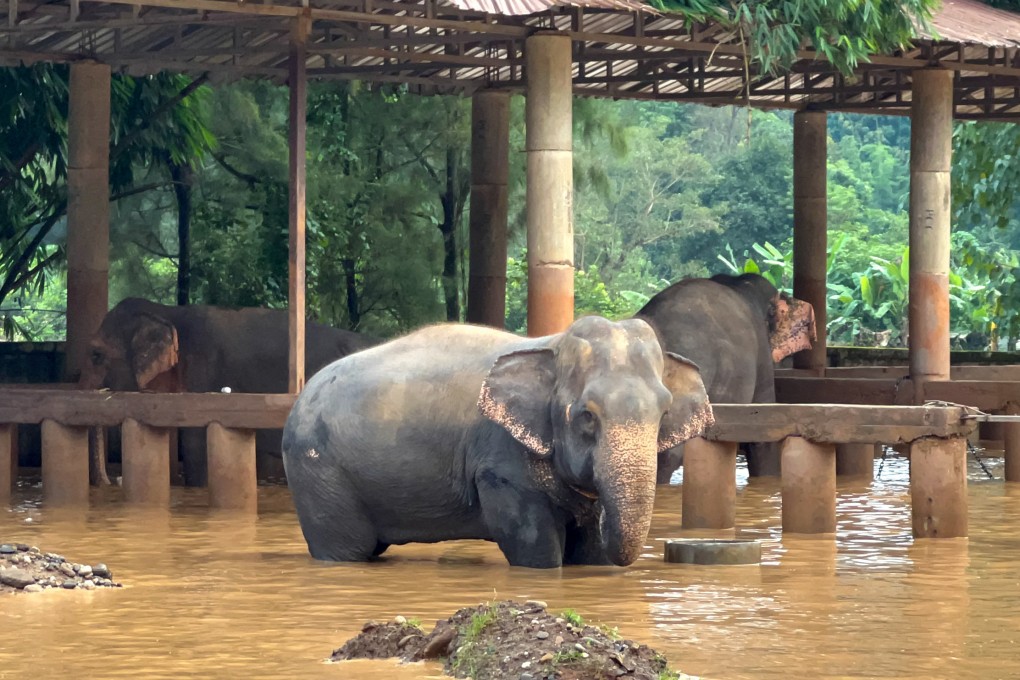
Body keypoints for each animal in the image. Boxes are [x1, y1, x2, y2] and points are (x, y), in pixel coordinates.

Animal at [282, 315, 714, 569]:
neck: (552, 344)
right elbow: (533, 544)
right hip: (318, 472)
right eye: (587, 416)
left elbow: (590, 551)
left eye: (664, 412)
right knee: (346, 549)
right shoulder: (500, 459)